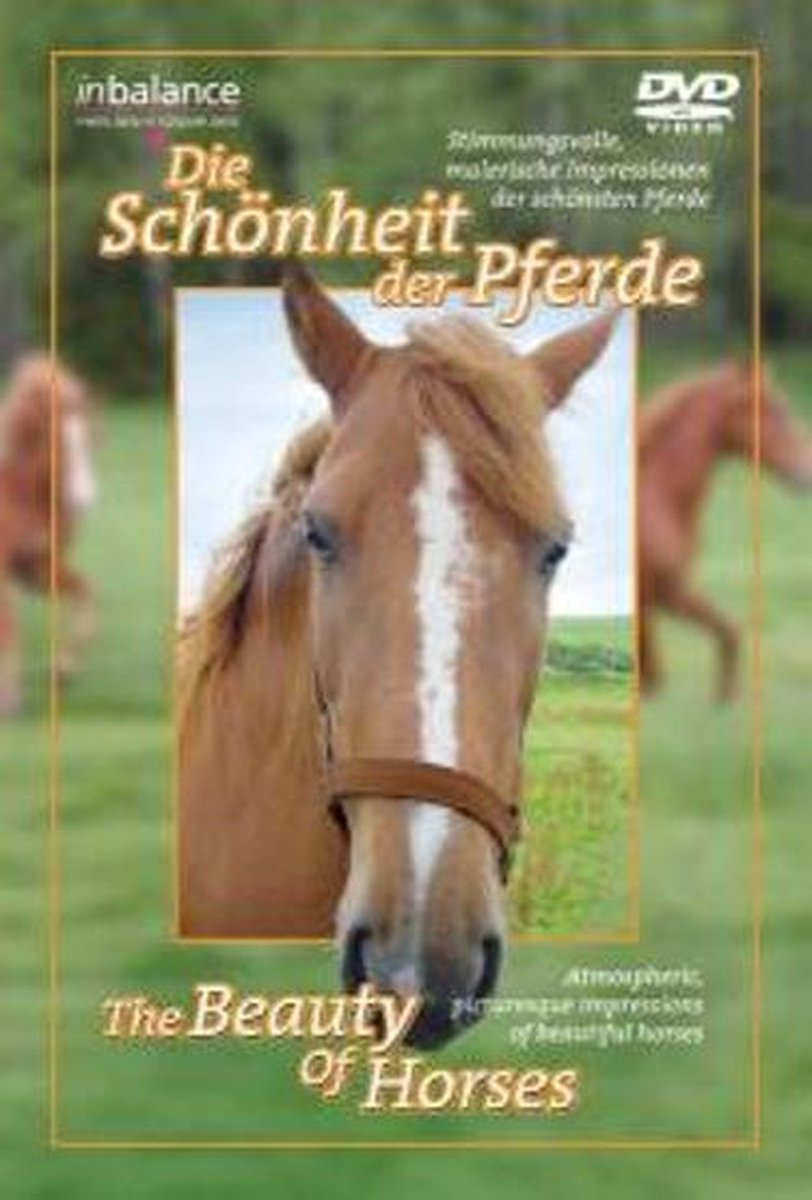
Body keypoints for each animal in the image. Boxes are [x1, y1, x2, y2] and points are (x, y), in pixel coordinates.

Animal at [0, 353, 98, 715]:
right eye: (58, 446)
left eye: (89, 441)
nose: (84, 499)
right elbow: (10, 628)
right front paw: (11, 702)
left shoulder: (37, 568)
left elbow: (86, 593)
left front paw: (64, 671)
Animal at [639, 360, 812, 701]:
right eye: (777, 410)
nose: (806, 472)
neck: (658, 498)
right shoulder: (661, 596)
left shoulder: (671, 593)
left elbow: (729, 632)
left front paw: (724, 699)